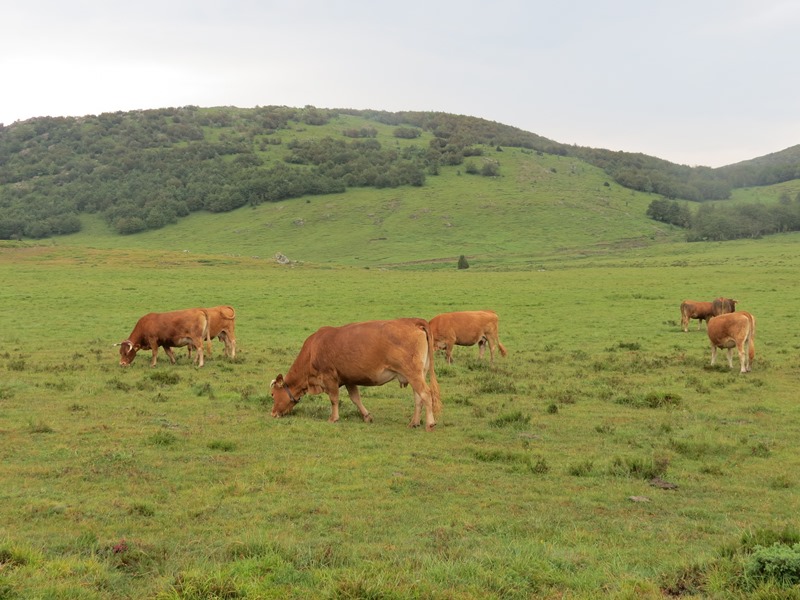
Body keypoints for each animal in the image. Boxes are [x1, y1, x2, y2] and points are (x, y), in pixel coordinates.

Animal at [272, 318, 440, 432]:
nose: (273, 413)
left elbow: (334, 399)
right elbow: (355, 398)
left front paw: (333, 418)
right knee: (418, 397)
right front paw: (366, 416)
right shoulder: (348, 379)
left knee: (425, 394)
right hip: (418, 374)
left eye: (273, 395)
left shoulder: (329, 377)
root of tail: (412, 321)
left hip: (413, 373)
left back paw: (429, 423)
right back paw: (414, 422)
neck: (312, 350)